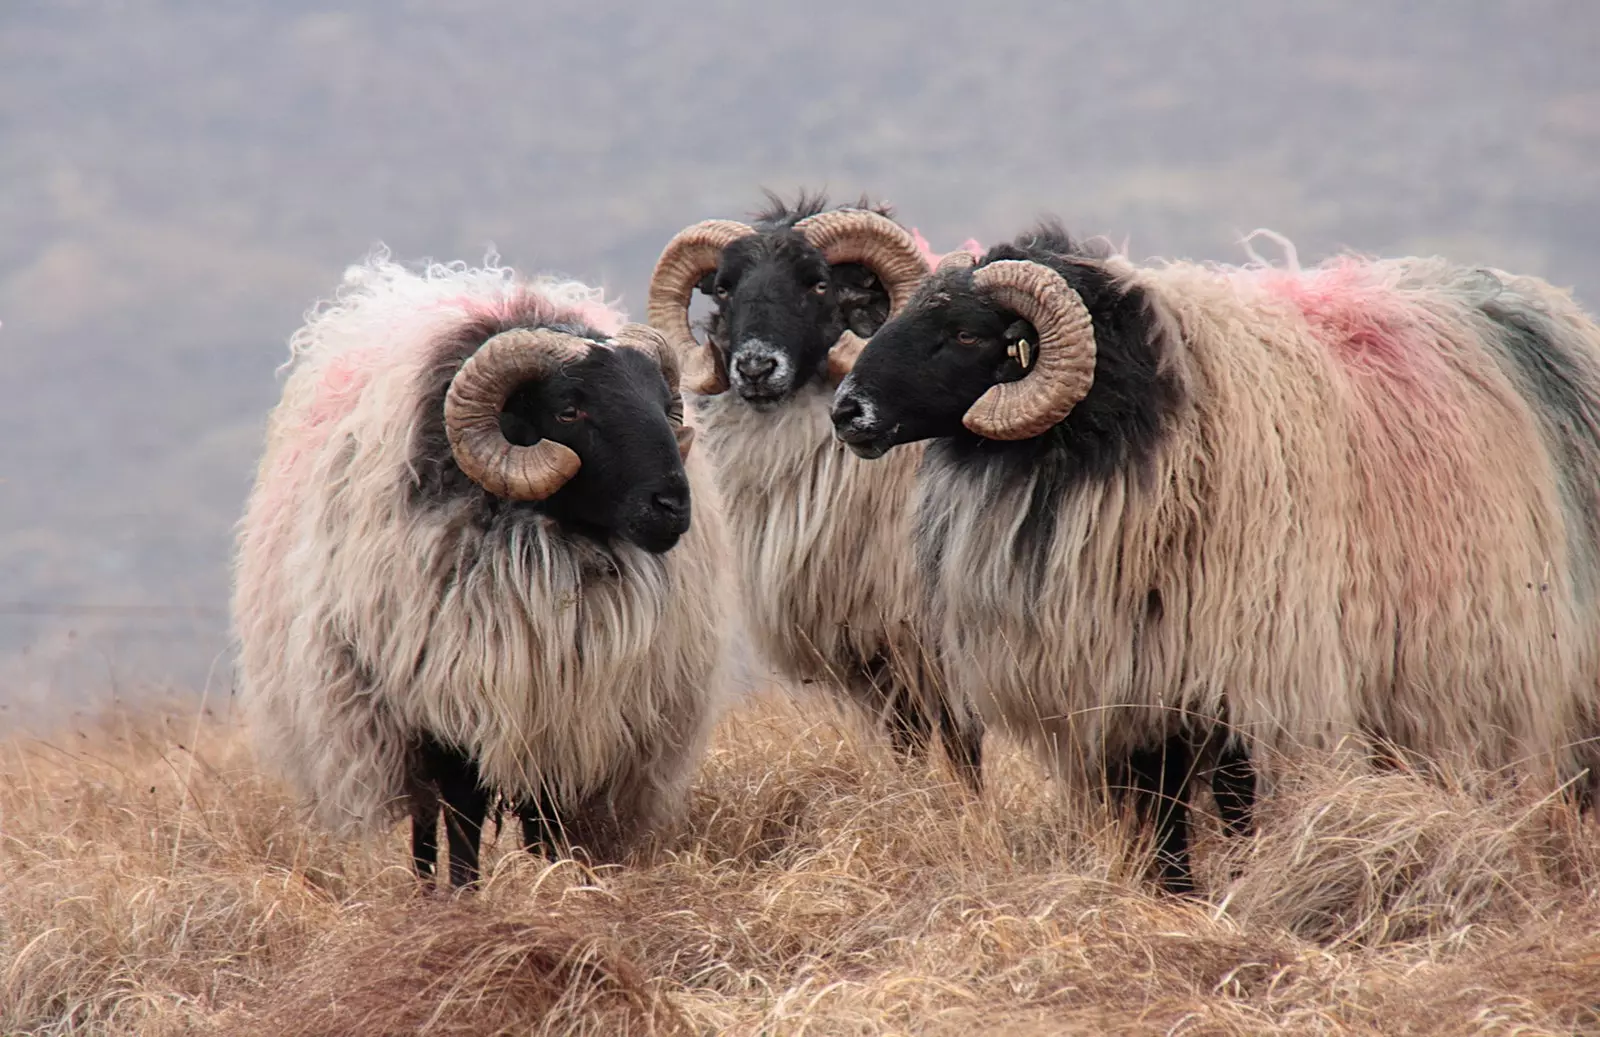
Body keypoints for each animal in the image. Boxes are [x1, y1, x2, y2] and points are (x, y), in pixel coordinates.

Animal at [232, 252, 732, 889]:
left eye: (665, 406)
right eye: (569, 409)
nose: (672, 506)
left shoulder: (569, 716)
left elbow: (546, 817)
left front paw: (551, 882)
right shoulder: (443, 703)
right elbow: (462, 815)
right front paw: (464, 895)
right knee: (424, 822)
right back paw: (425, 890)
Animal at [649, 194, 985, 790]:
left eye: (819, 284)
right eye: (723, 289)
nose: (755, 368)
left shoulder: (931, 635)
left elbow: (961, 739)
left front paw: (968, 804)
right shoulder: (876, 645)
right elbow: (907, 739)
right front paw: (910, 794)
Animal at [832, 224, 1600, 889]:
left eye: (967, 332)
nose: (847, 411)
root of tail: (1550, 305)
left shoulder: (1242, 665)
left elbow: (1234, 797)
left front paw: (1237, 882)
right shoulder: (1137, 678)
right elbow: (1161, 802)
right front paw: (1170, 891)